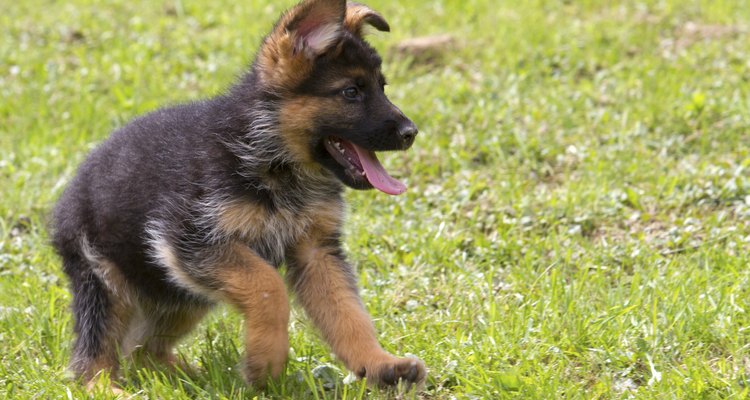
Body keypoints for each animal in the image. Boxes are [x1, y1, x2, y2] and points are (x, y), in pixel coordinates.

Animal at [52, 0, 426, 390]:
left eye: (382, 87)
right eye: (351, 92)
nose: (411, 133)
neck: (273, 158)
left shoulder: (316, 251)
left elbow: (348, 315)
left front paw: (379, 363)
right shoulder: (191, 241)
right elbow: (268, 286)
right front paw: (266, 362)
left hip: (179, 294)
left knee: (143, 350)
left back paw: (192, 379)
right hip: (105, 280)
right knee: (92, 356)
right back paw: (108, 388)